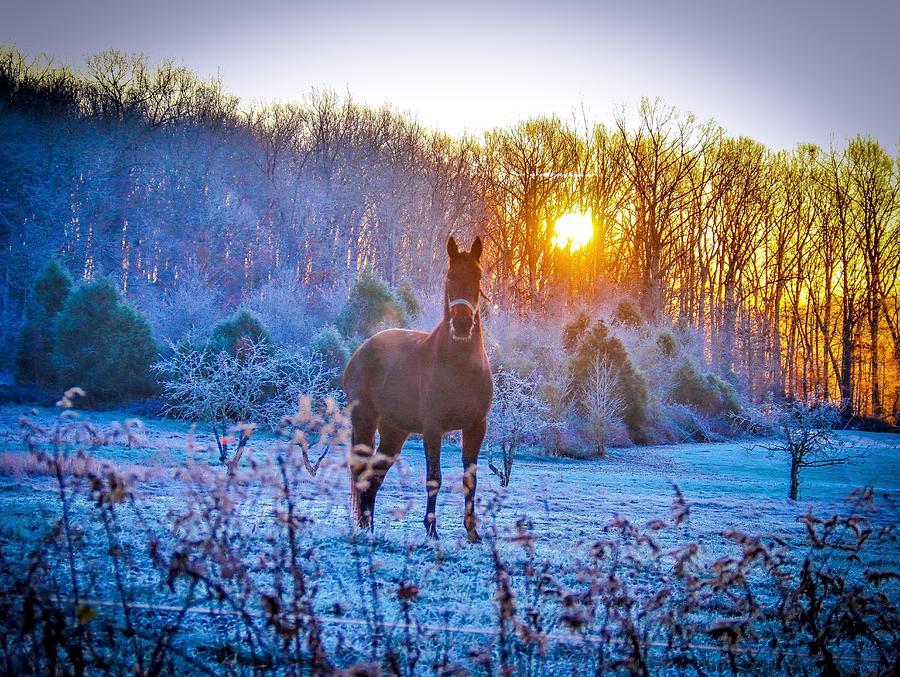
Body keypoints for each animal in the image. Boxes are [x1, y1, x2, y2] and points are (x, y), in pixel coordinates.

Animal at [344, 235, 496, 540]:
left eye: (478, 276)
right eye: (450, 276)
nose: (462, 324)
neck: (460, 364)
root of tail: (361, 351)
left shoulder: (476, 426)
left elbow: (470, 479)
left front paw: (473, 533)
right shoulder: (433, 428)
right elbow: (434, 478)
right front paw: (431, 530)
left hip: (394, 431)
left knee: (375, 475)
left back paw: (370, 528)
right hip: (365, 421)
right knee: (362, 472)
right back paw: (364, 527)